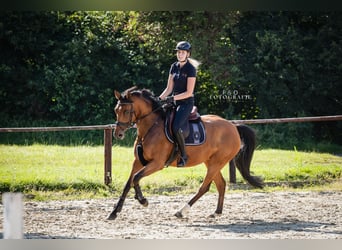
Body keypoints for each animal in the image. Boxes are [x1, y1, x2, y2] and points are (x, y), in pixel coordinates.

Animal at [108, 87, 264, 220]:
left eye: (126, 111)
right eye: (116, 110)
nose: (118, 134)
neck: (151, 128)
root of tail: (233, 126)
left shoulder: (157, 163)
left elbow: (136, 178)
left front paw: (142, 200)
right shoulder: (138, 162)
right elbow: (128, 183)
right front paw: (114, 212)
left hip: (217, 162)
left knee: (204, 187)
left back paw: (181, 211)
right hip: (211, 162)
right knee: (221, 184)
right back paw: (216, 212)